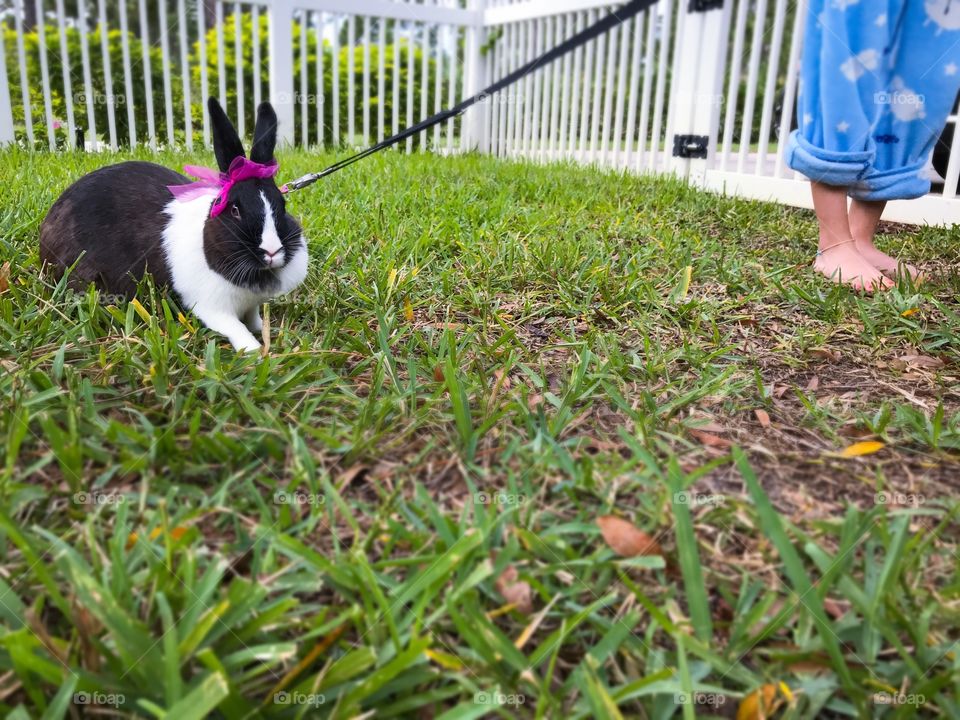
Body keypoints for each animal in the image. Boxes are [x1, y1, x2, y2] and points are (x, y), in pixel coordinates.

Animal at [40, 98, 308, 352]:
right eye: (235, 211)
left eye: (282, 205)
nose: (271, 251)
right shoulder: (213, 308)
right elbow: (236, 328)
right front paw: (255, 351)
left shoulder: (250, 305)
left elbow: (252, 320)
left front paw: (270, 332)